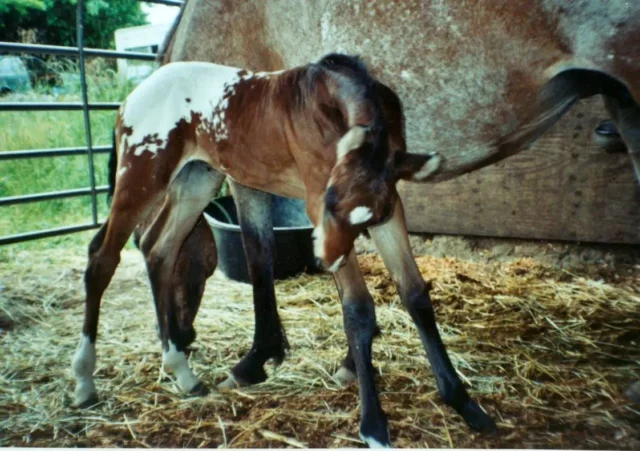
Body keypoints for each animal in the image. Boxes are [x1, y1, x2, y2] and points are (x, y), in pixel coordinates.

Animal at [70, 55, 492, 448]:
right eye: (328, 202)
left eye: (368, 213)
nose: (326, 258)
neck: (331, 95)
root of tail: (132, 96)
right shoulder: (315, 196)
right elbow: (357, 307)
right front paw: (373, 426)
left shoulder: (390, 210)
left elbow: (415, 293)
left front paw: (464, 403)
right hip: (142, 174)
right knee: (102, 257)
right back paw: (85, 381)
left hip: (196, 177)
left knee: (160, 248)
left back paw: (183, 373)